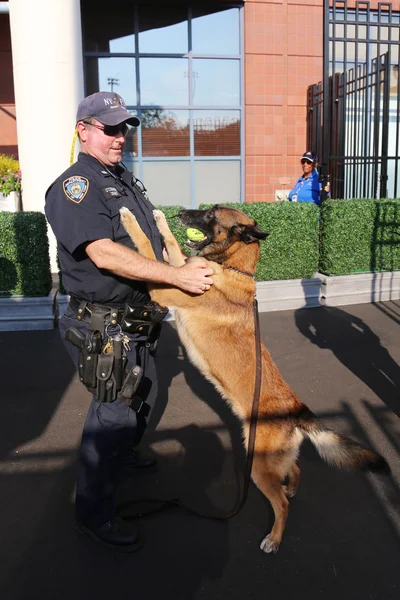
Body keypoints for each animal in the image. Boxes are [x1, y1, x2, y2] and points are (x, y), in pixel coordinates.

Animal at [119, 205, 388, 552]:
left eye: (211, 215)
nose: (180, 212)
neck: (233, 268)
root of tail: (297, 410)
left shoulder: (164, 288)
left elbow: (146, 249)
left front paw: (131, 220)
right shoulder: (182, 272)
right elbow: (173, 249)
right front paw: (159, 220)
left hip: (258, 466)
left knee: (281, 505)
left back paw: (274, 538)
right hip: (270, 460)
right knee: (294, 468)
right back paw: (292, 488)